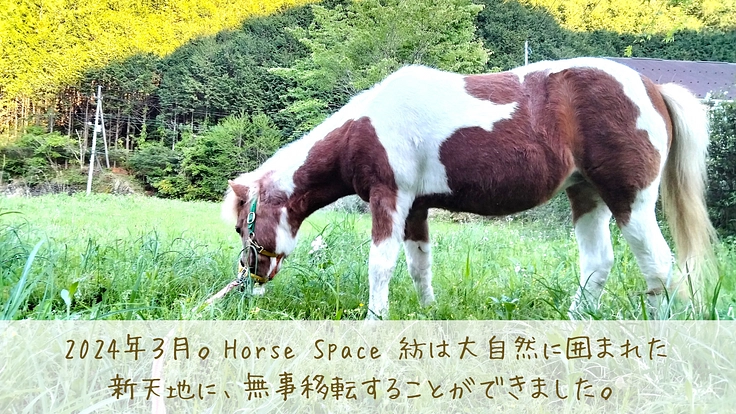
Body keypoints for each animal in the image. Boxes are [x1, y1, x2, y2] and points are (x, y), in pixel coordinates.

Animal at [222, 57, 716, 319]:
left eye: (244, 228)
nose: (248, 286)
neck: (368, 126)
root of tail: (653, 88)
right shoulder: (416, 209)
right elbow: (419, 264)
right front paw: (427, 310)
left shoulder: (390, 199)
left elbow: (380, 265)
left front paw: (375, 319)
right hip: (586, 194)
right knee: (599, 262)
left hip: (630, 199)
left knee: (658, 264)